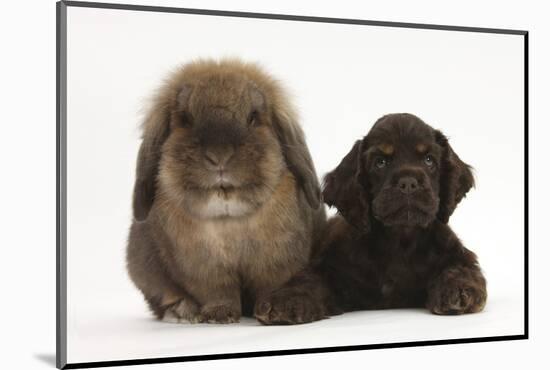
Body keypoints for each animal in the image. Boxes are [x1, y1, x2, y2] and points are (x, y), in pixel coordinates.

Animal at [126, 58, 326, 324]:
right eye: (186, 119)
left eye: (252, 117)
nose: (219, 155)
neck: (228, 218)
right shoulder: (203, 271)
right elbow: (218, 293)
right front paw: (219, 316)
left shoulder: (277, 265)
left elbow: (271, 287)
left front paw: (267, 309)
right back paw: (181, 312)